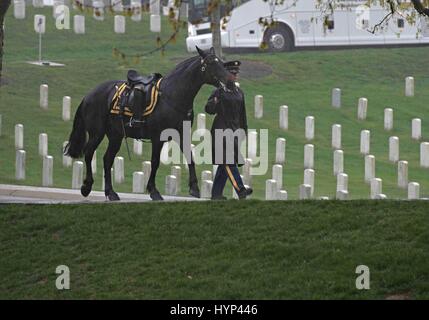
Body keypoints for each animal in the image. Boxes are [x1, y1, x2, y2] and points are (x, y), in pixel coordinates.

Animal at [63, 47, 231, 200]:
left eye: (221, 62)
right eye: (211, 63)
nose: (229, 80)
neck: (173, 95)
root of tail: (89, 94)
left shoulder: (182, 134)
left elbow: (190, 158)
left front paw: (194, 188)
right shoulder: (158, 137)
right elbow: (155, 162)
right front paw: (153, 191)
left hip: (116, 136)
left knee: (107, 159)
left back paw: (110, 192)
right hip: (97, 133)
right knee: (89, 153)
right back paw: (86, 186)